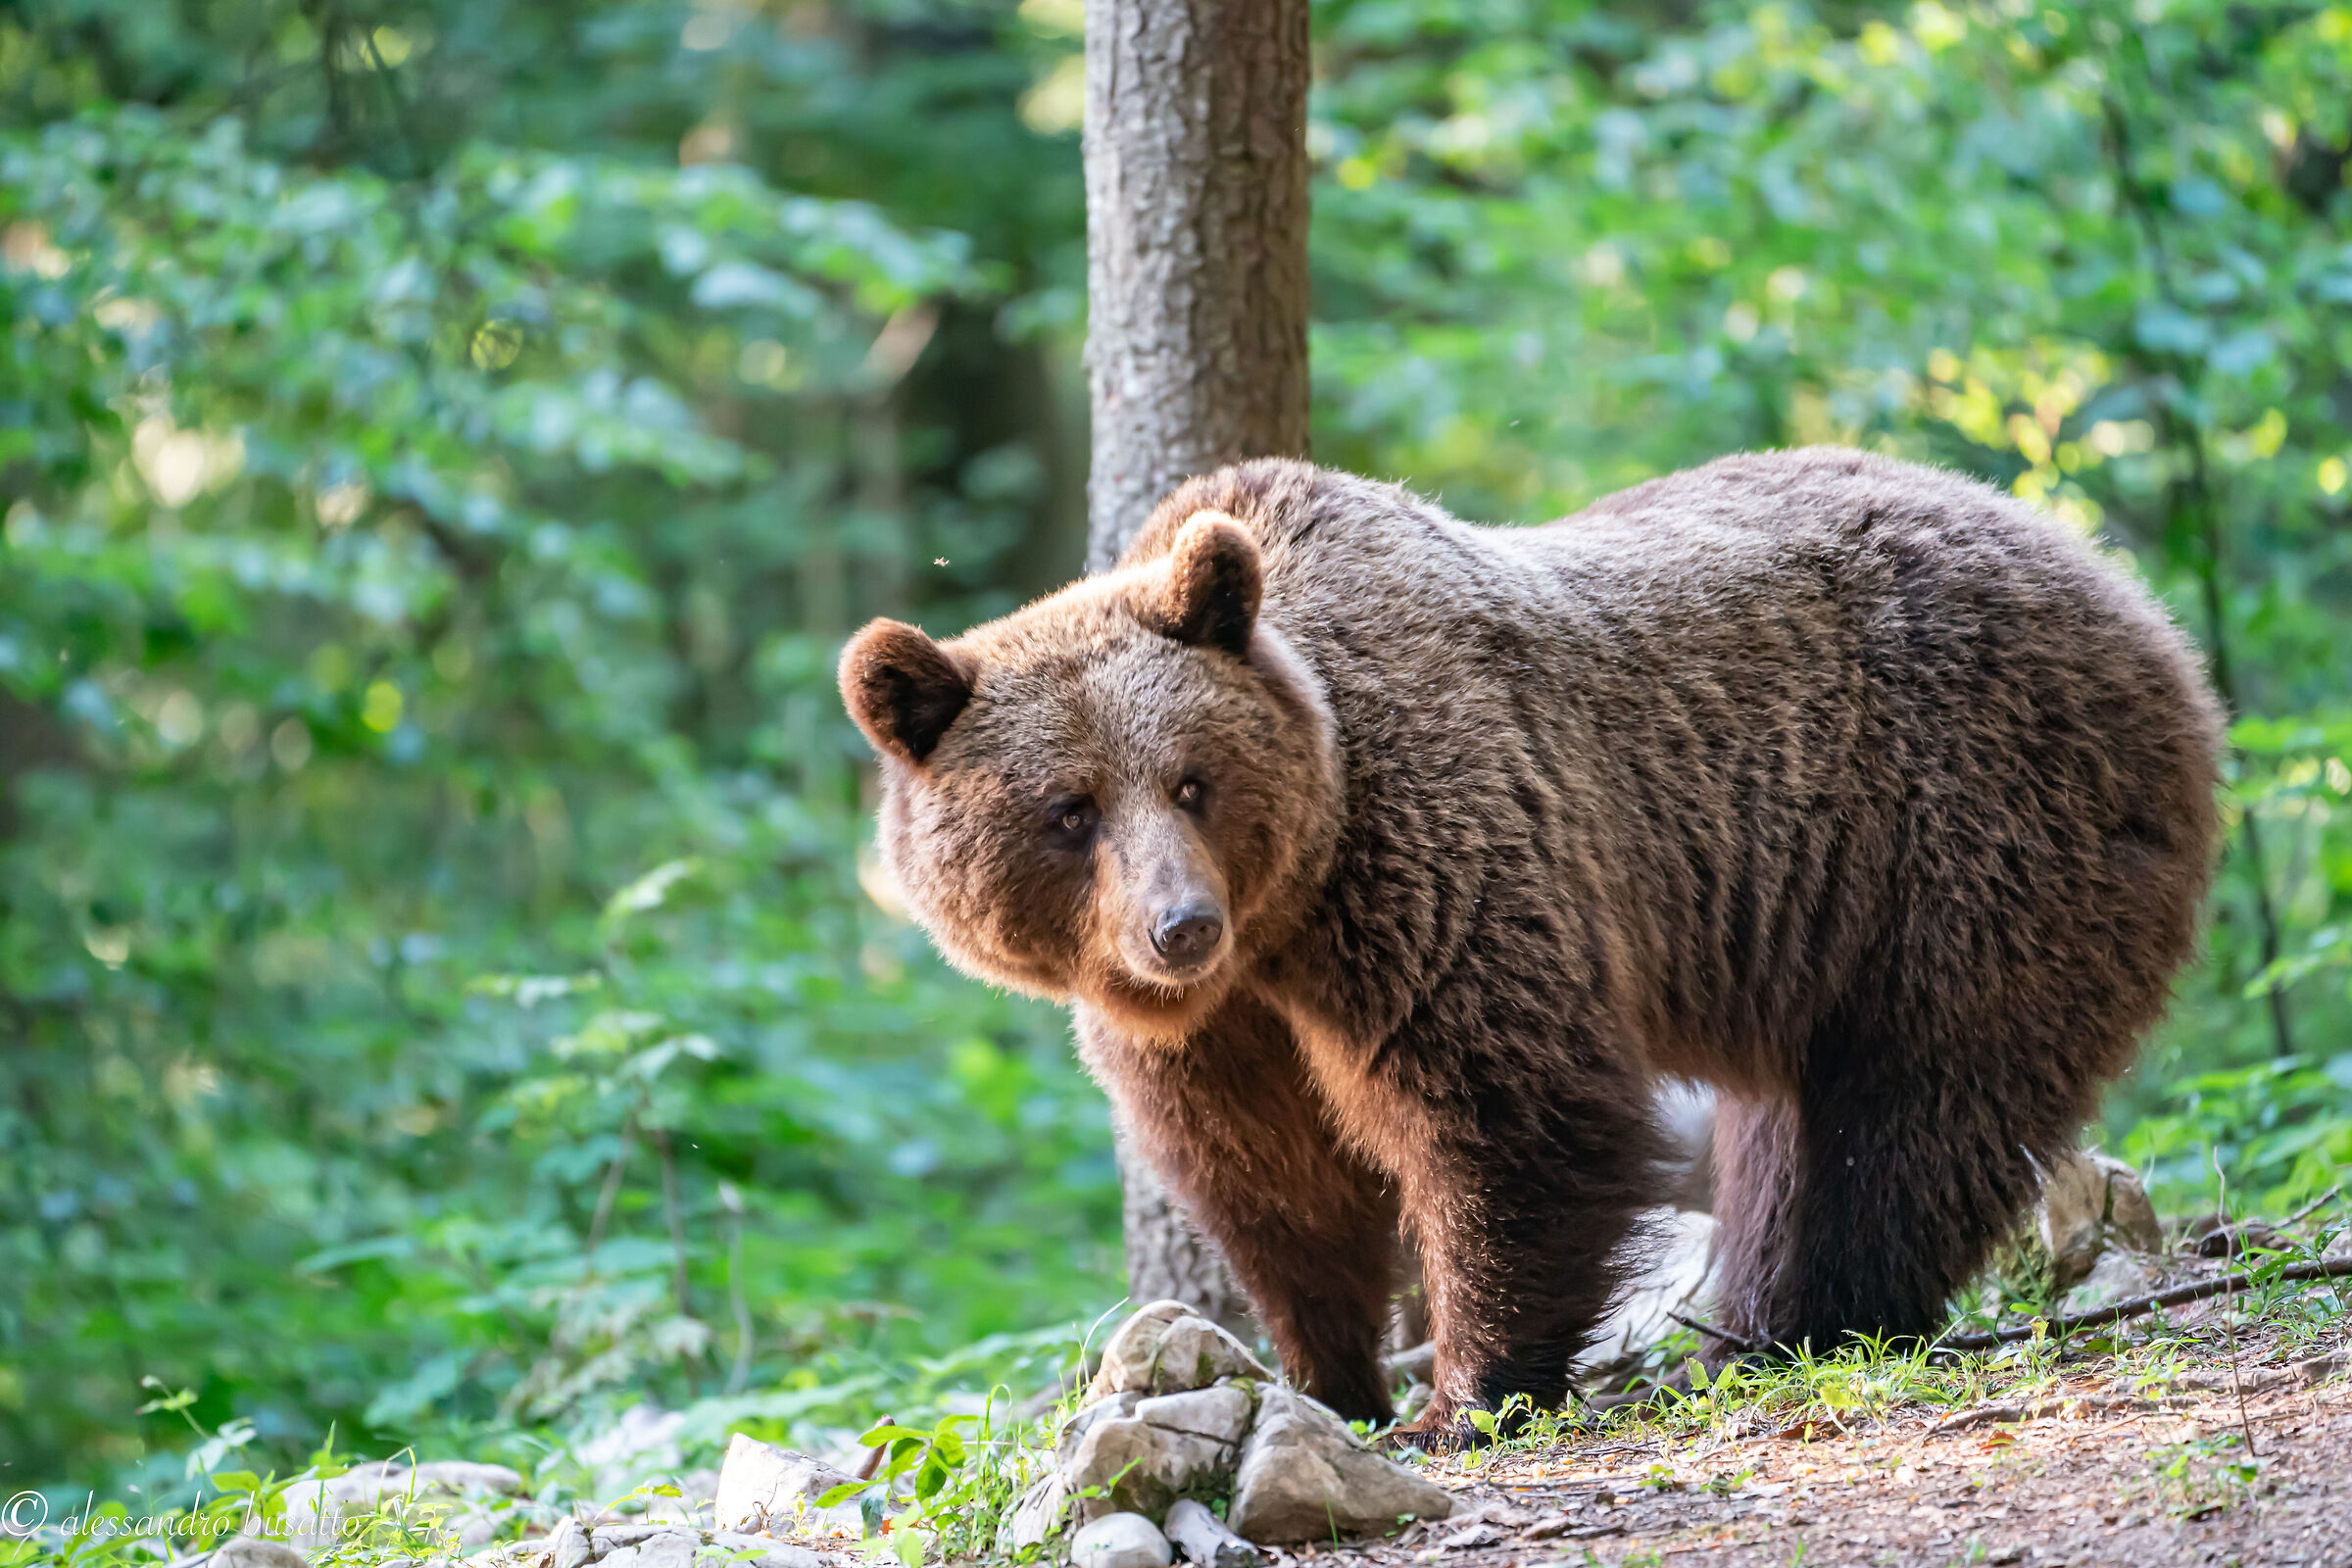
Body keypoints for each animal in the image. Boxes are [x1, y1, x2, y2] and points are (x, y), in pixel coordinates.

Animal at [838, 448, 2222, 1438]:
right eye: (1068, 809)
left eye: (1191, 780)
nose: (1179, 925)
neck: (1287, 919)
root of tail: (2131, 596)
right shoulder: (1216, 1031)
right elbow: (1274, 1185)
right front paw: (1331, 1381)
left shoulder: (1433, 865)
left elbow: (1507, 1112)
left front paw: (1467, 1395)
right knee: (1798, 1123)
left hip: (1964, 835)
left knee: (1912, 1106)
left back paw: (1807, 1319)